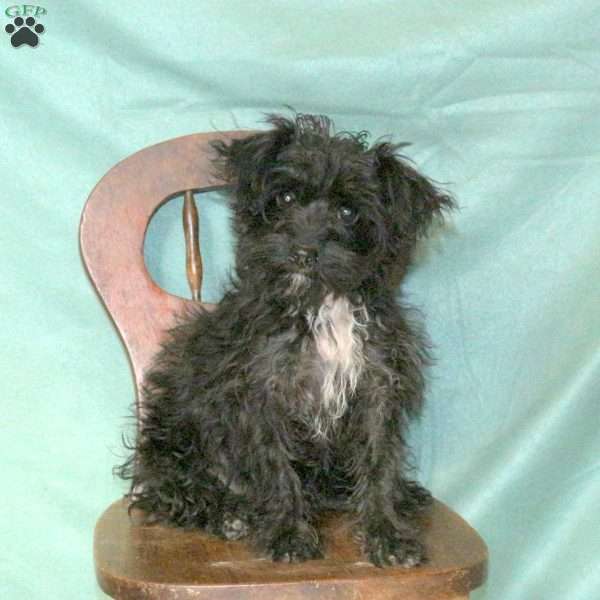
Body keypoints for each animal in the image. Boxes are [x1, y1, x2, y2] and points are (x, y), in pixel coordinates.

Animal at [119, 112, 452, 568]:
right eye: (287, 197)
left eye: (348, 211)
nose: (303, 252)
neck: (322, 304)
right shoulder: (261, 392)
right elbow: (275, 466)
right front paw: (289, 533)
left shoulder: (376, 388)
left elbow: (379, 463)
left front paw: (388, 533)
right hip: (172, 436)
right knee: (170, 491)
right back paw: (228, 513)